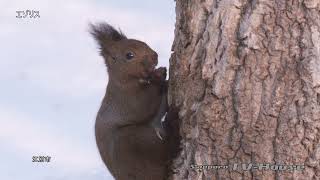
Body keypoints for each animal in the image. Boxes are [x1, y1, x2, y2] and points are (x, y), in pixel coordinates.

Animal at [89, 22, 171, 180]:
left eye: (142, 42)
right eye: (129, 55)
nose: (155, 56)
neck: (125, 81)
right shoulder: (129, 101)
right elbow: (145, 106)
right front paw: (159, 74)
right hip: (130, 140)